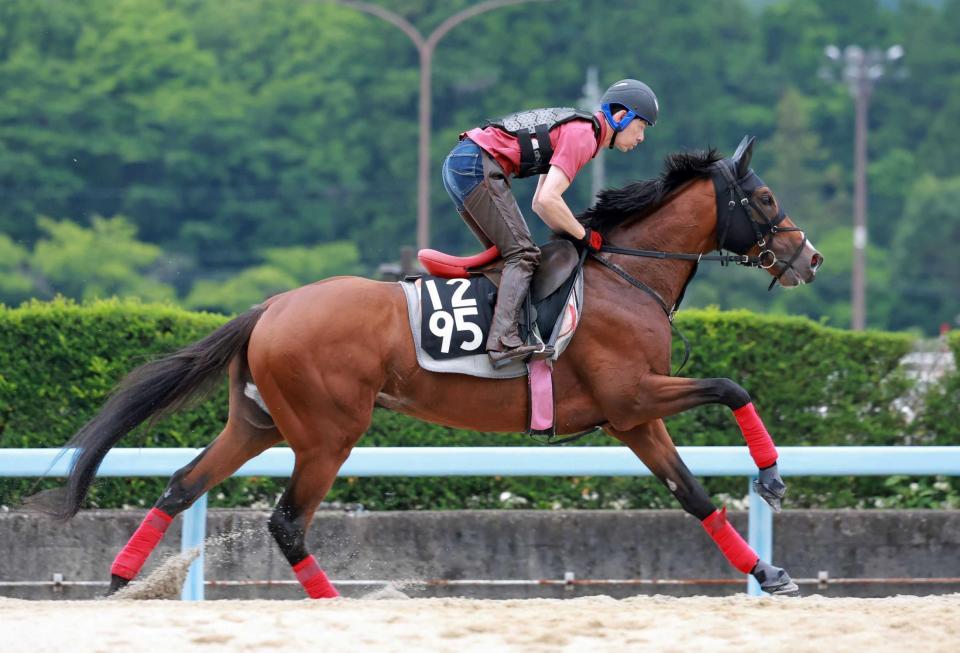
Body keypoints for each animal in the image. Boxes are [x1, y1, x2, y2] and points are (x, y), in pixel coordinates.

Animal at [31, 136, 824, 596]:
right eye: (764, 197)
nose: (809, 256)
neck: (628, 274)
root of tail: (273, 306)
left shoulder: (630, 418)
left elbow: (692, 493)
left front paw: (769, 570)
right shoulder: (633, 395)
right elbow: (731, 385)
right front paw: (772, 475)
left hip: (258, 423)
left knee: (182, 484)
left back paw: (121, 581)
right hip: (327, 433)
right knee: (287, 523)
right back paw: (337, 607)